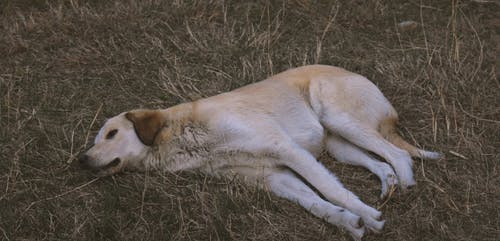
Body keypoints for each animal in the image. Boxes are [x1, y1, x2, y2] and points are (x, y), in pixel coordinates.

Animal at [80, 64, 440, 241]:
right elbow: (316, 203)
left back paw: (405, 184)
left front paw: (366, 215)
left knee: (398, 154)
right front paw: (347, 221)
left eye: (111, 134)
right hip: (338, 144)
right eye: (97, 138)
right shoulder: (274, 177)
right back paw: (389, 183)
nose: (82, 160)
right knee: (379, 160)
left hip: (339, 118)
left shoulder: (287, 150)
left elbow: (331, 191)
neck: (187, 136)